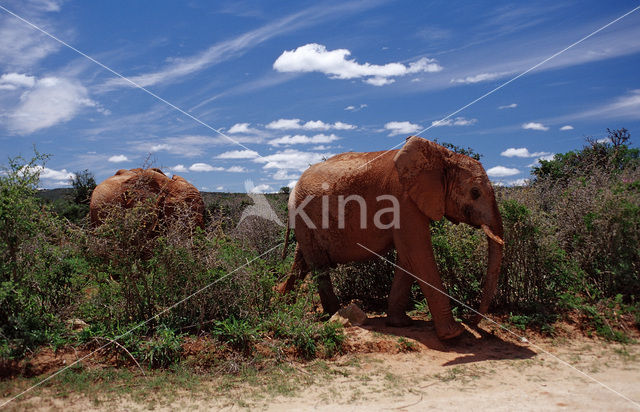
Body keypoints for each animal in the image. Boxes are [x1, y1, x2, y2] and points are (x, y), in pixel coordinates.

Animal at [278, 137, 504, 340]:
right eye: (475, 192)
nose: (473, 322)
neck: (442, 155)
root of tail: (293, 189)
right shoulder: (402, 199)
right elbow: (418, 254)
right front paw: (454, 334)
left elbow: (408, 258)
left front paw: (401, 323)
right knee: (318, 266)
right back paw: (332, 313)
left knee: (302, 262)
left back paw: (283, 300)